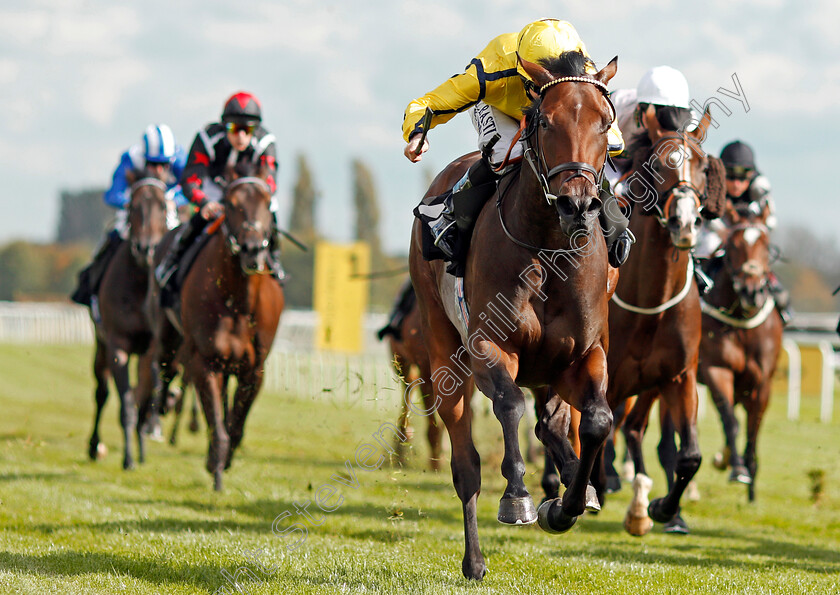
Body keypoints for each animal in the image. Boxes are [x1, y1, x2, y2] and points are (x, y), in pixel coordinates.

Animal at [87, 166, 171, 470]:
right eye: (133, 206)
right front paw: (128, 459)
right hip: (100, 343)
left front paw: (142, 448)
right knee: (101, 393)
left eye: (162, 205)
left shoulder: (151, 348)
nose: (146, 249)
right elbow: (125, 403)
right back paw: (94, 446)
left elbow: (144, 397)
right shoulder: (117, 344)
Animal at [144, 164, 286, 494]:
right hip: (168, 335)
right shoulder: (205, 361)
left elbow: (234, 426)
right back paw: (157, 414)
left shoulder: (254, 369)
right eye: (231, 203)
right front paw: (216, 470)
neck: (238, 300)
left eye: (267, 201)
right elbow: (218, 427)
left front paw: (224, 460)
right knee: (164, 368)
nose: (252, 250)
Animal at [410, 53, 620, 580]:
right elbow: (509, 405)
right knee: (465, 465)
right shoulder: (490, 346)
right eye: (545, 122)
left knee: (554, 424)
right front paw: (519, 497)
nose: (577, 204)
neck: (548, 247)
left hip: (551, 371)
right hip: (443, 353)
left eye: (605, 123)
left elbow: (598, 421)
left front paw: (566, 505)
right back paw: (474, 560)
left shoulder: (584, 354)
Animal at [596, 110, 728, 536]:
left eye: (702, 165)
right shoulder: (606, 378)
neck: (651, 304)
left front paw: (662, 508)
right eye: (657, 164)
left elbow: (690, 455)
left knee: (636, 427)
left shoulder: (679, 376)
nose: (684, 223)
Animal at [696, 212, 780, 500]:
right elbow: (730, 421)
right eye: (732, 246)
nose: (751, 291)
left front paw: (750, 476)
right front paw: (737, 468)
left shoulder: (762, 381)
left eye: (766, 245)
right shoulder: (716, 370)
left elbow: (753, 427)